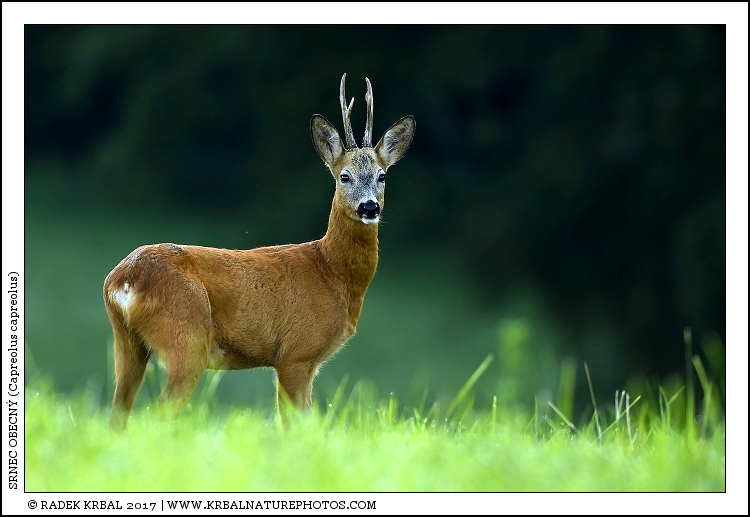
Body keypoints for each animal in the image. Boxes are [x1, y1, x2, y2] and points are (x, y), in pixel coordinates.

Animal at [103, 74, 415, 429]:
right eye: (344, 176)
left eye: (382, 176)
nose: (369, 207)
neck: (331, 273)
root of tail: (124, 280)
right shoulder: (296, 353)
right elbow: (294, 423)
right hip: (187, 335)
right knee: (161, 410)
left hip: (127, 343)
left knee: (118, 411)